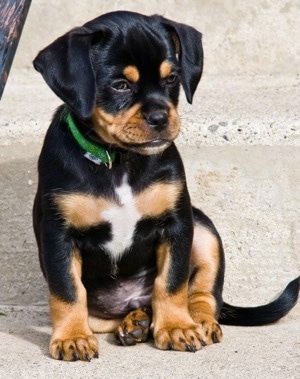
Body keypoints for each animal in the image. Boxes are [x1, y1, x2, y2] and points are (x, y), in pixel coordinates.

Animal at [31, 11, 298, 362]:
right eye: (120, 85)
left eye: (172, 79)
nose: (160, 118)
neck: (120, 162)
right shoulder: (58, 233)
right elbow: (67, 290)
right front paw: (72, 338)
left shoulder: (177, 223)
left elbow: (171, 283)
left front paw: (176, 328)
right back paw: (135, 322)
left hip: (204, 228)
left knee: (202, 295)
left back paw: (195, 322)